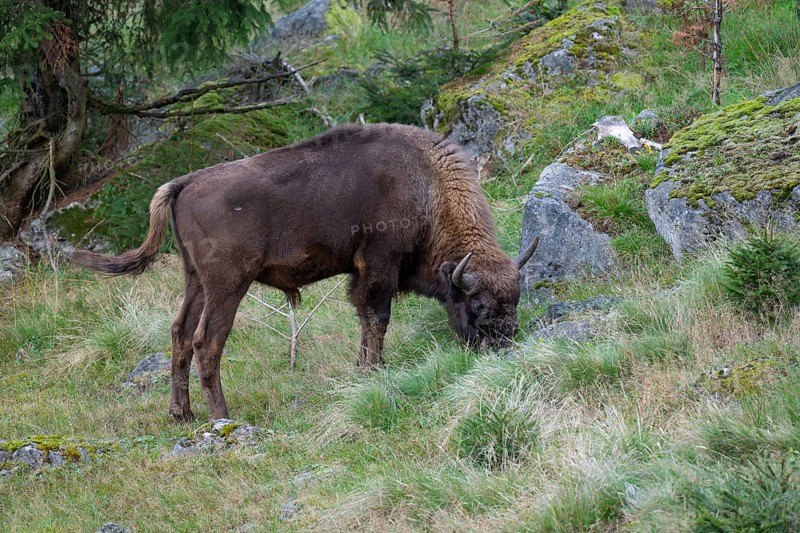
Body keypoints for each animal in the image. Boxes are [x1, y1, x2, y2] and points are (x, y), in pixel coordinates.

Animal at [72, 123, 538, 422]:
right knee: (208, 340)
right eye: (478, 305)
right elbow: (377, 318)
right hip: (228, 285)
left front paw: (362, 368)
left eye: (514, 300)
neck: (426, 185)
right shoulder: (378, 265)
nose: (503, 345)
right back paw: (222, 416)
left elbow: (365, 320)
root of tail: (183, 183)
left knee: (180, 334)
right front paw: (374, 370)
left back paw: (181, 414)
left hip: (196, 282)